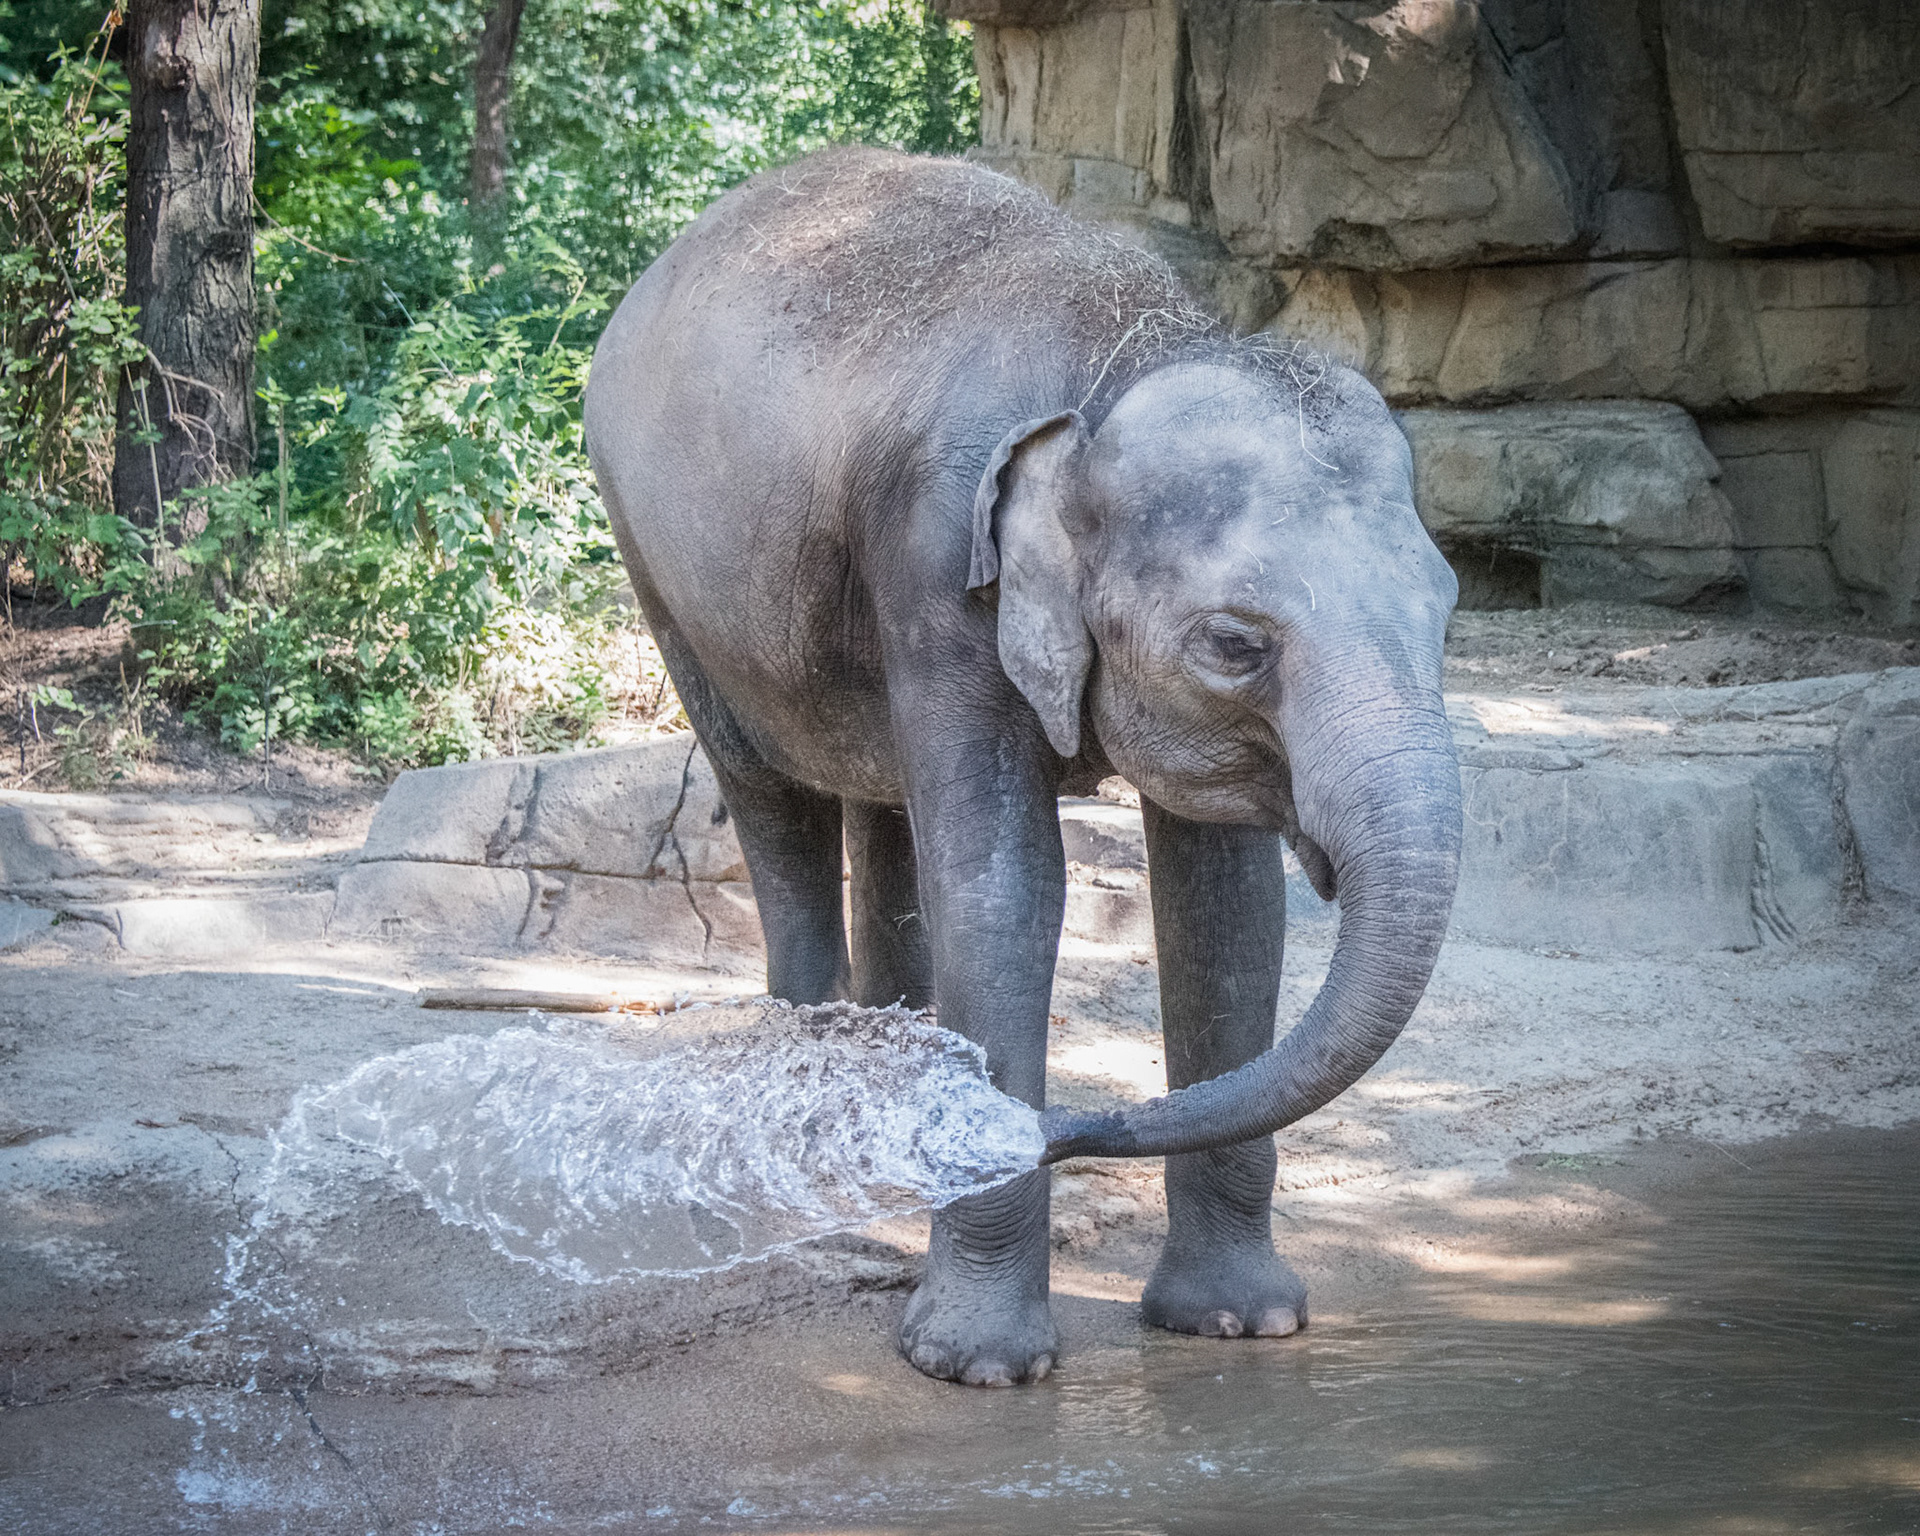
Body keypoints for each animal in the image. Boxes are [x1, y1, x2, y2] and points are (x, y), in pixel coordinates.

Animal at [584, 148, 1462, 1386]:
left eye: (1448, 608)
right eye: (1234, 644)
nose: (1057, 1138)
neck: (1128, 354)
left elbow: (1226, 905)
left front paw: (1239, 1325)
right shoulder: (940, 565)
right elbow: (1005, 887)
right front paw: (977, 1367)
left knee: (883, 809)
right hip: (662, 570)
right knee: (772, 801)